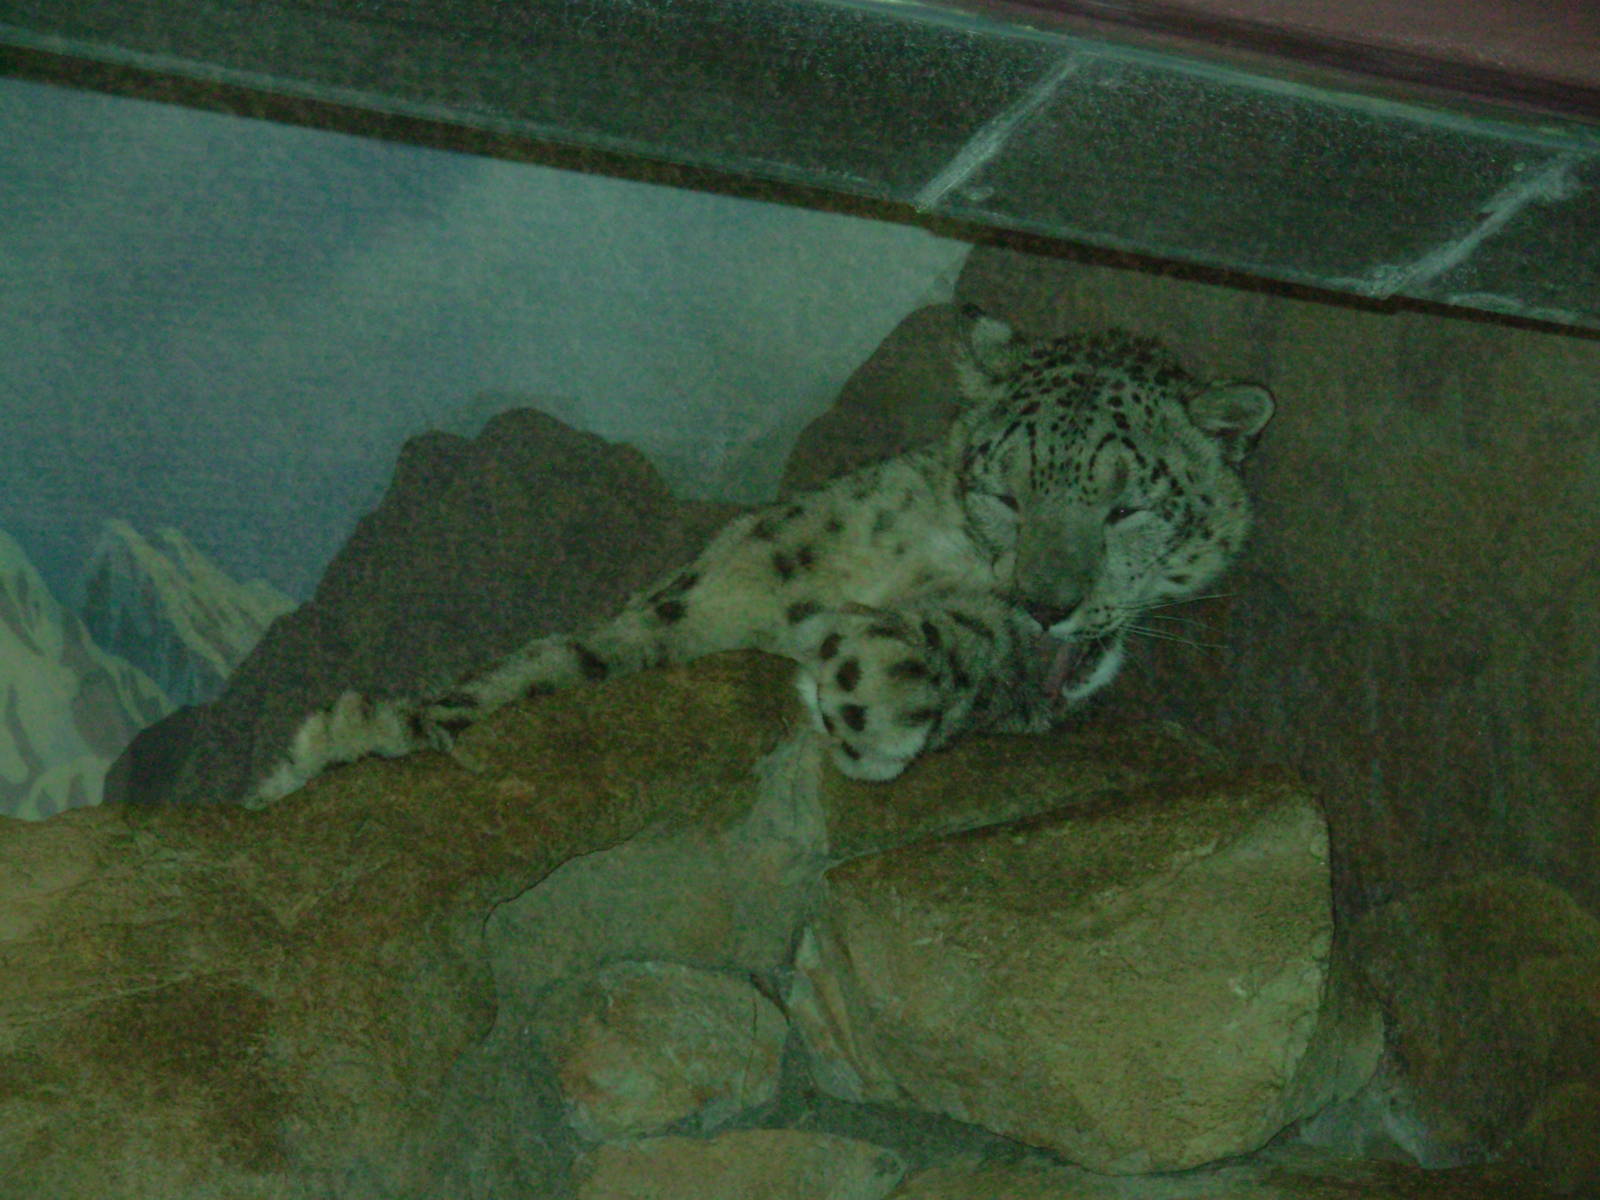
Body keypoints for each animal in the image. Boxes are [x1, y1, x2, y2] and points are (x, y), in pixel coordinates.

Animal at [250, 306, 1273, 803]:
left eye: (1128, 506)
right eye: (1006, 491)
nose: (1047, 603)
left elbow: (937, 661)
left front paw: (859, 679)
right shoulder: (696, 599)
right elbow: (556, 664)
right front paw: (339, 741)